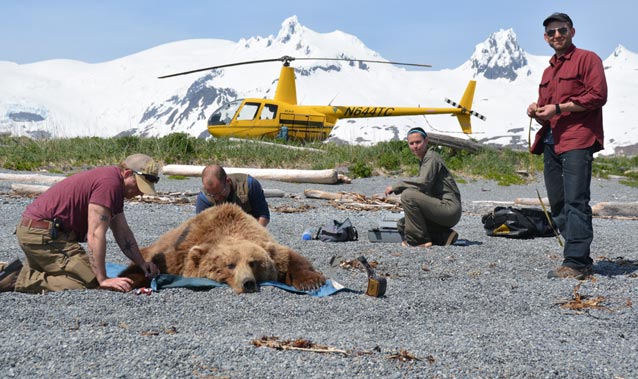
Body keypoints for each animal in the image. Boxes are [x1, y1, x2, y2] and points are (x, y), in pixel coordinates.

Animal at [120, 203, 328, 296]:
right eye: (230, 265)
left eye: (253, 263)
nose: (247, 283)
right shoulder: (181, 252)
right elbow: (154, 264)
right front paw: (125, 281)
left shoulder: (270, 246)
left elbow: (292, 257)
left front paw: (311, 282)